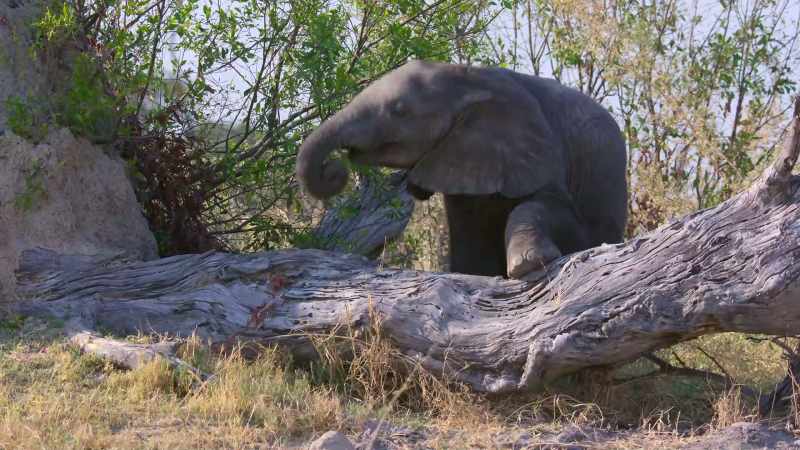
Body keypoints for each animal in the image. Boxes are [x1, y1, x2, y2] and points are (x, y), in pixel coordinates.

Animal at [296, 60, 627, 279]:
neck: (468, 79)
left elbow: (554, 211)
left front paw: (528, 264)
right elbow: (470, 238)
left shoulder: (543, 152)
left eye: (399, 110)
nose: (334, 169)